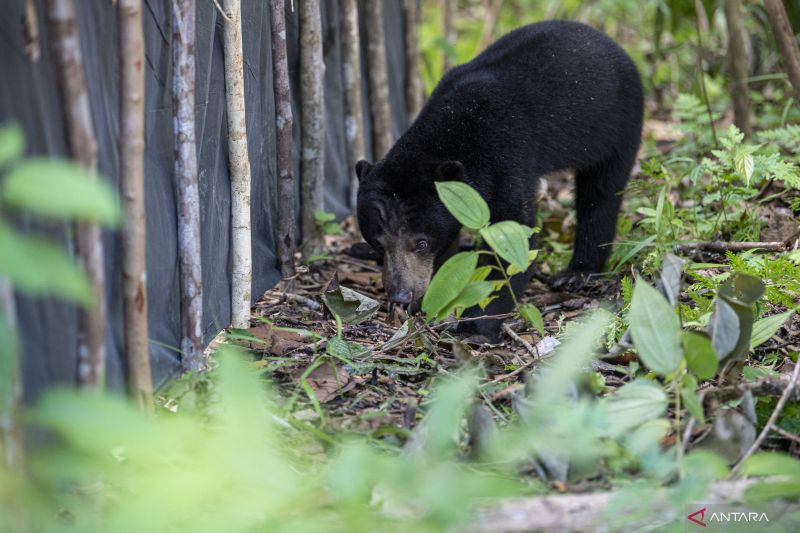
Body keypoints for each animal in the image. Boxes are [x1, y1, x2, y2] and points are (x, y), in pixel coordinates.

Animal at [356, 21, 644, 336]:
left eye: (420, 243)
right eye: (378, 243)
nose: (399, 295)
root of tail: (614, 46)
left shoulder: (507, 154)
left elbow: (514, 233)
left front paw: (476, 325)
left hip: (618, 125)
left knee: (601, 193)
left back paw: (576, 273)